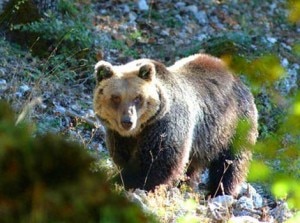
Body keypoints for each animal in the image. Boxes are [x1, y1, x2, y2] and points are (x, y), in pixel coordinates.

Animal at [93, 53, 258, 197]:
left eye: (137, 98)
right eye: (115, 97)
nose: (127, 121)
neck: (140, 129)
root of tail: (239, 80)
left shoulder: (166, 124)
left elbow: (155, 162)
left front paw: (122, 182)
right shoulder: (118, 135)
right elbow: (122, 156)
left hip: (234, 126)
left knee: (231, 163)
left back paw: (219, 192)